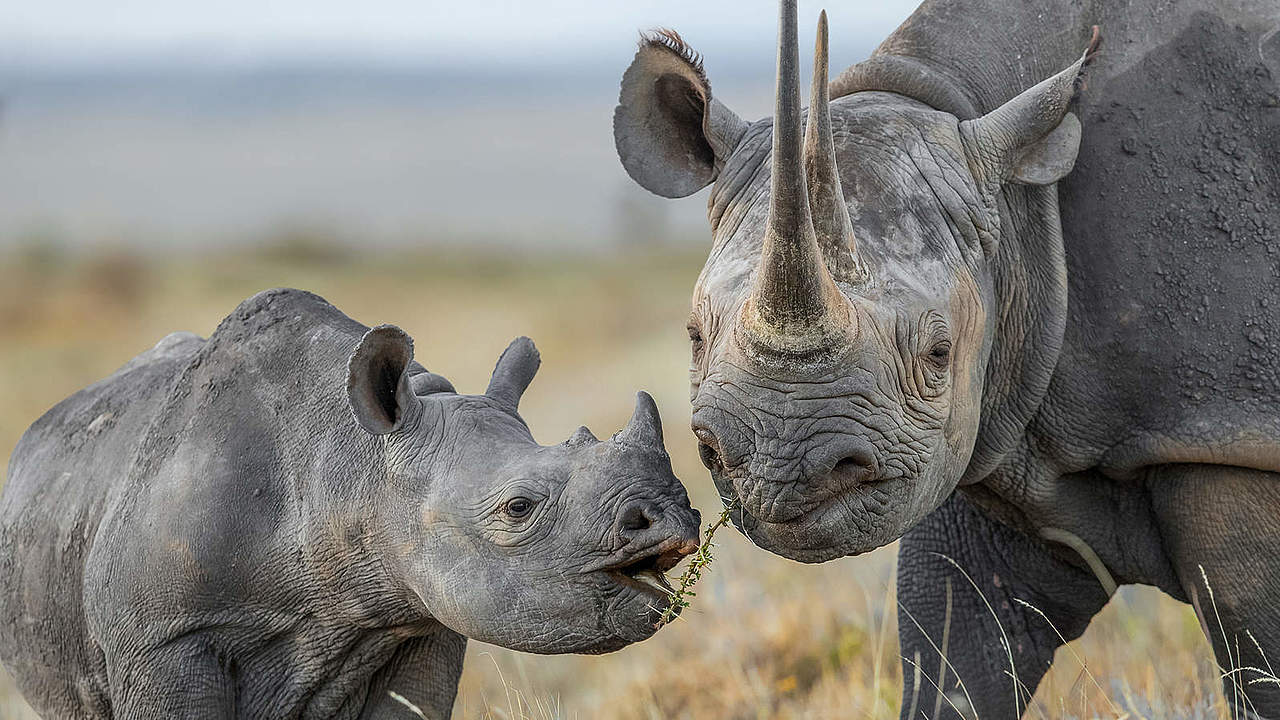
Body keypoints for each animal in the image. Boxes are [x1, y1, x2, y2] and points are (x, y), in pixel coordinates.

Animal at [614, 0, 1274, 712]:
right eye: (693, 335)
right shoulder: (986, 434)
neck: (1021, 211)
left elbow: (1258, 655)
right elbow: (953, 653)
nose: (779, 472)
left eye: (938, 351)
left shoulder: (1222, 429)